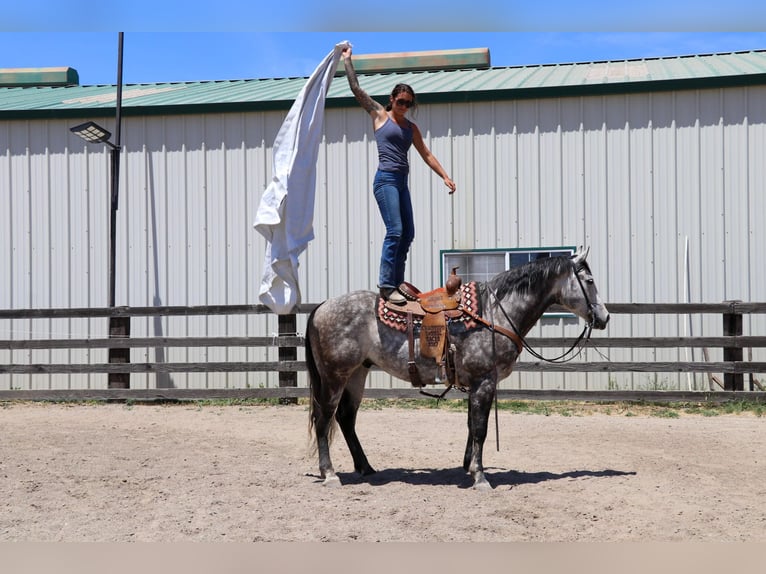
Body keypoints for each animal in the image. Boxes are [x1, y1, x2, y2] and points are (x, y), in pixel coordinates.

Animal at [305, 246, 610, 490]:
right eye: (590, 280)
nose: (605, 317)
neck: (495, 312)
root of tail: (322, 306)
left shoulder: (477, 384)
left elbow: (471, 425)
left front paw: (469, 467)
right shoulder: (484, 381)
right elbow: (481, 429)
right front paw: (481, 477)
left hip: (358, 372)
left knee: (346, 418)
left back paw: (366, 467)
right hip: (334, 375)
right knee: (324, 418)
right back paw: (330, 474)